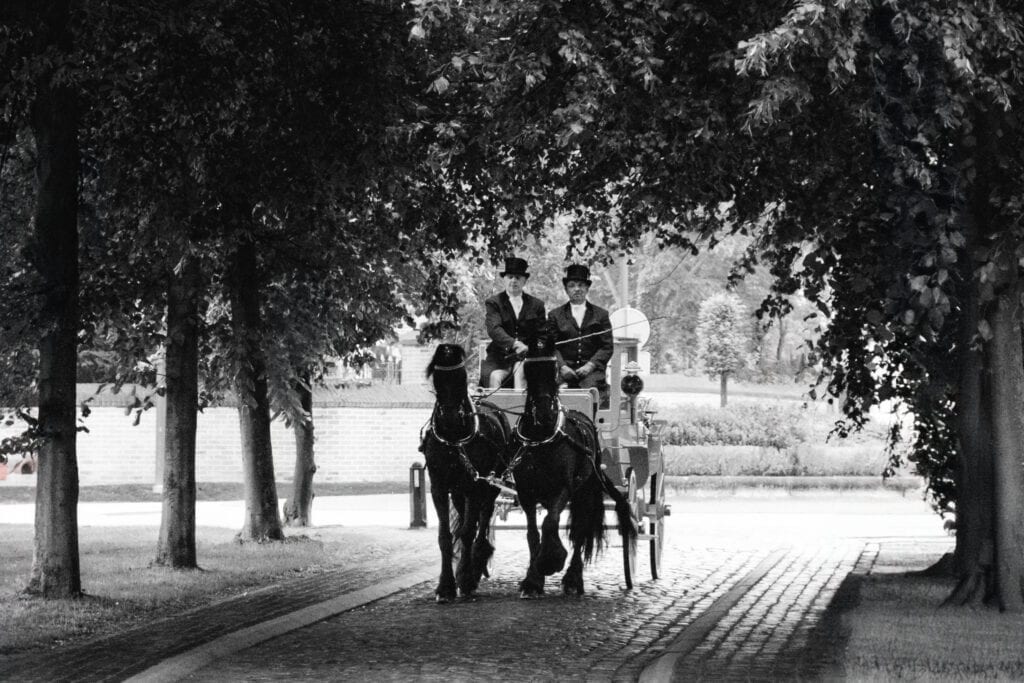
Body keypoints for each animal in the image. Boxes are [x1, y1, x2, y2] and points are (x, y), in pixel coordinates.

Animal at [419, 344, 512, 602]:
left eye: (461, 377)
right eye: (438, 377)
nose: (451, 417)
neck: (454, 439)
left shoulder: (474, 486)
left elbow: (469, 531)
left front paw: (466, 579)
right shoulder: (440, 488)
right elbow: (446, 535)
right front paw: (445, 586)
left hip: (489, 487)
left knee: (481, 521)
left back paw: (475, 564)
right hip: (460, 491)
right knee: (464, 524)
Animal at [512, 327, 630, 593]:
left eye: (553, 368)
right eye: (528, 368)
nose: (544, 414)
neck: (542, 437)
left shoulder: (563, 488)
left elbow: (550, 523)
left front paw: (551, 561)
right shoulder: (526, 492)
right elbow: (533, 533)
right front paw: (533, 579)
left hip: (584, 490)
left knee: (580, 529)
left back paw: (573, 578)